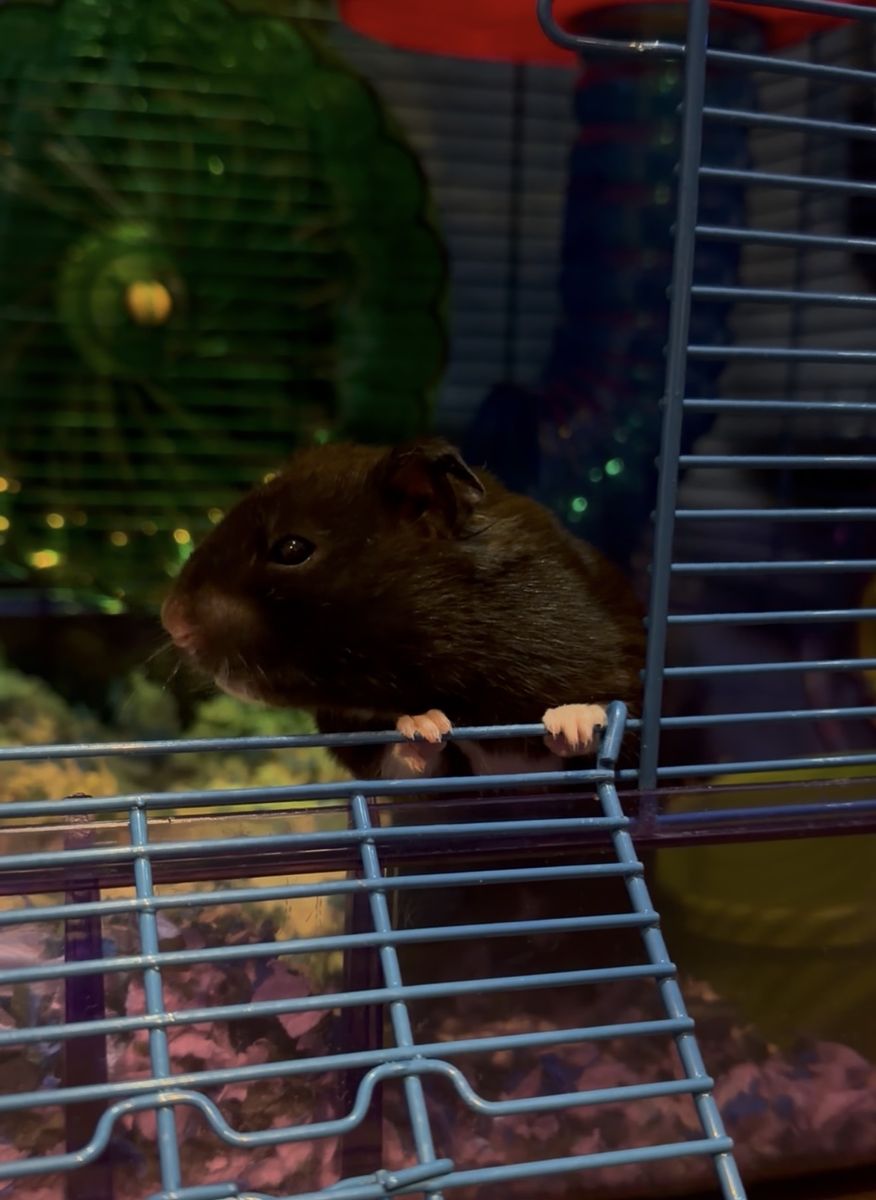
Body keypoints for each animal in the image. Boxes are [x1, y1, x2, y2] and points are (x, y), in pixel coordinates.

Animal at [161, 439, 645, 779]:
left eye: (292, 548)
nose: (171, 620)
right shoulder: (358, 739)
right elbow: (404, 758)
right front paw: (423, 723)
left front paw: (575, 719)